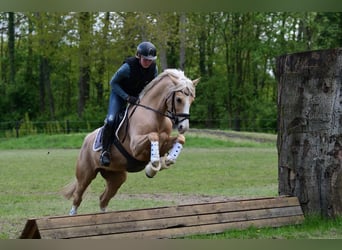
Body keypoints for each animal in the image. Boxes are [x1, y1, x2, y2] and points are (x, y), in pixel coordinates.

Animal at [62, 69, 199, 215]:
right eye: (179, 99)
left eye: (192, 100)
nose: (183, 127)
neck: (156, 116)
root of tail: (86, 139)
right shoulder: (135, 147)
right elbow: (154, 136)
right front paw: (154, 164)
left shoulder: (165, 141)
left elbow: (179, 139)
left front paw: (168, 160)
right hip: (86, 174)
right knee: (78, 196)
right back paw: (73, 214)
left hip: (116, 176)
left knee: (103, 198)